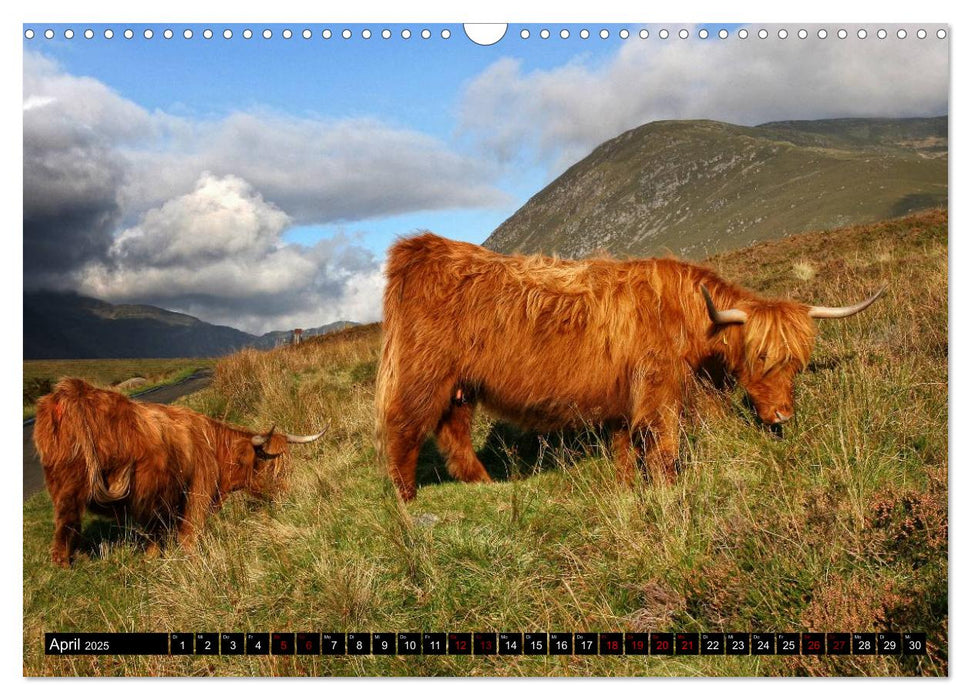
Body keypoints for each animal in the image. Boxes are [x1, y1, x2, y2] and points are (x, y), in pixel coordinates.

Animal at [33, 380, 326, 568]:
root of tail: (73, 392)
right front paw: (190, 558)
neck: (213, 448)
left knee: (65, 524)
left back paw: (71, 561)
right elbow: (189, 531)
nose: (286, 494)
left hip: (65, 484)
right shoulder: (197, 491)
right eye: (268, 466)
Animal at [376, 232, 884, 500]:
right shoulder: (659, 389)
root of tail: (423, 247)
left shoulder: (625, 396)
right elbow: (664, 446)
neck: (686, 316)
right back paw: (406, 499)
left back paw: (488, 486)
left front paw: (625, 487)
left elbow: (625, 446)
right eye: (760, 357)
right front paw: (669, 490)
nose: (782, 416)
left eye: (796, 363)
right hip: (424, 373)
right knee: (404, 427)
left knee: (453, 430)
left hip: (461, 384)